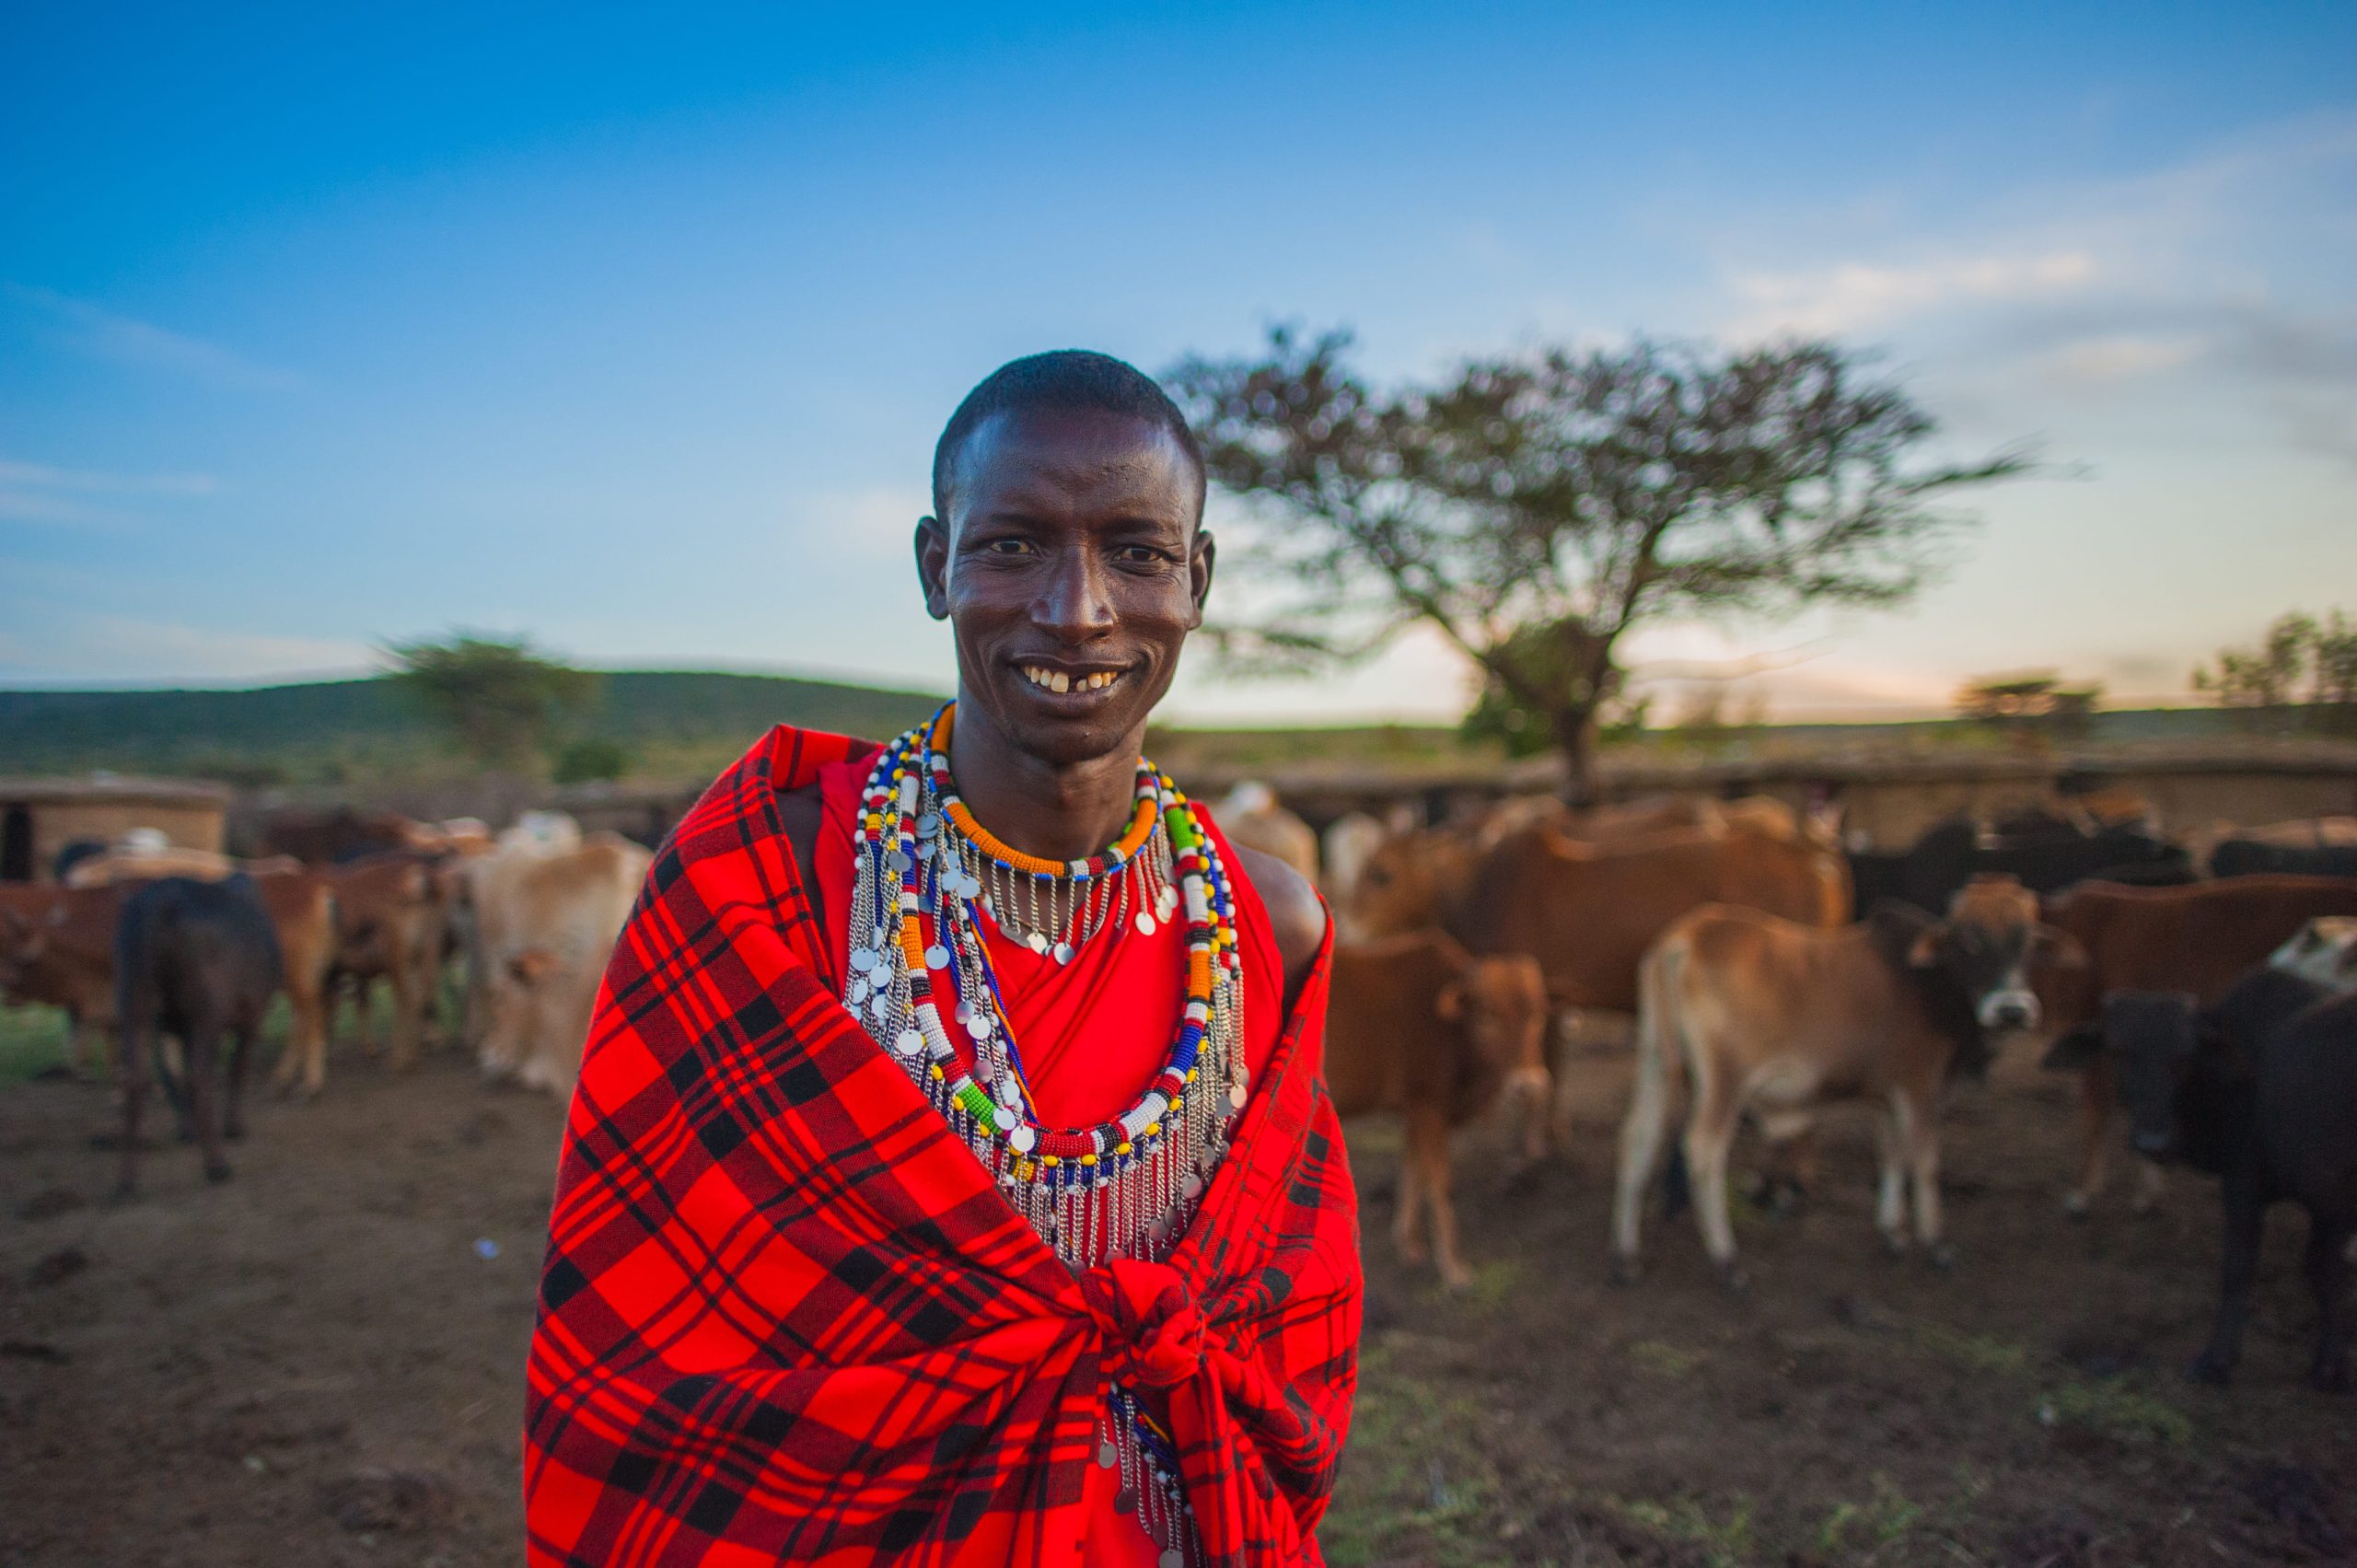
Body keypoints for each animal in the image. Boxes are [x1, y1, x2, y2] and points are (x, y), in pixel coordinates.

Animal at [112, 872, 283, 1192]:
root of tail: (159, 901)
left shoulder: (169, 1027)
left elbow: (170, 1072)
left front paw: (188, 1130)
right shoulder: (251, 1019)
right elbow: (237, 1069)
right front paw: (233, 1127)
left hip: (135, 1005)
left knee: (137, 1080)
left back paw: (127, 1181)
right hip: (205, 1014)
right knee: (199, 1078)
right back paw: (217, 1165)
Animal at [1621, 872, 2064, 1292]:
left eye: (2027, 940)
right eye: (1969, 940)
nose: (2012, 1010)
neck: (1929, 984)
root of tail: (1686, 937)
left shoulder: (1888, 1096)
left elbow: (1892, 1153)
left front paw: (1893, 1234)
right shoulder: (1920, 1087)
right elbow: (1924, 1164)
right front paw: (1936, 1245)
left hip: (1656, 1061)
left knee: (1638, 1137)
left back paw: (1625, 1257)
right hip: (1725, 1081)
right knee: (1702, 1150)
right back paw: (1727, 1264)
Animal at [2055, 971, 2347, 1386]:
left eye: (2183, 1058)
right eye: (2118, 1051)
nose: (2153, 1142)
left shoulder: (2247, 1178)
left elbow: (2242, 1267)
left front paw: (2216, 1359)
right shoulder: (2328, 1203)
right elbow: (2327, 1273)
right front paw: (2330, 1365)